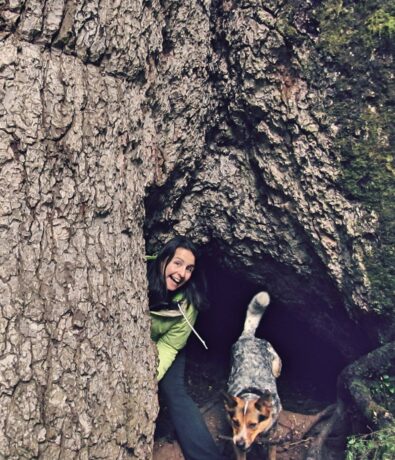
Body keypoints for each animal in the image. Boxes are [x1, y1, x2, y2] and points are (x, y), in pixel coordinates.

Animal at [224, 292, 284, 458]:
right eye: (236, 422)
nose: (239, 443)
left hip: (273, 357)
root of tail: (248, 337)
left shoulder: (272, 436)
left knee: (278, 366)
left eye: (253, 424)